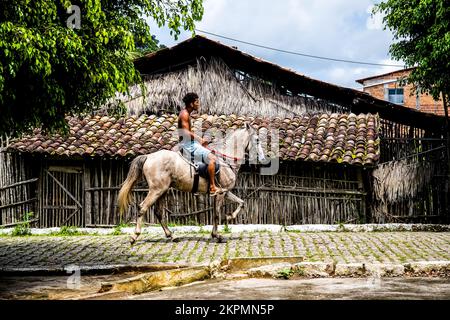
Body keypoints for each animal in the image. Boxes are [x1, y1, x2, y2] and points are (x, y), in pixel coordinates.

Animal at [118, 121, 266, 244]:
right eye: (257, 140)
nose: (263, 159)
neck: (225, 160)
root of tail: (148, 156)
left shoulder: (225, 192)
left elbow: (241, 202)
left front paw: (229, 217)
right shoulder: (221, 193)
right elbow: (217, 214)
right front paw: (218, 234)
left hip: (162, 191)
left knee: (159, 212)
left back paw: (172, 236)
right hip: (156, 190)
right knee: (142, 207)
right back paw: (134, 236)